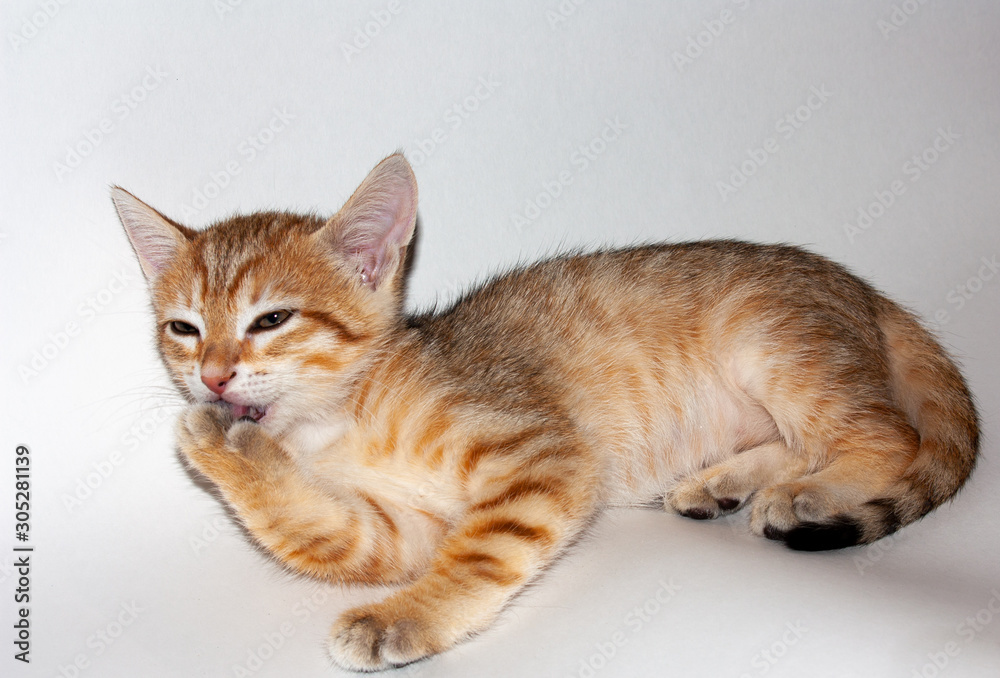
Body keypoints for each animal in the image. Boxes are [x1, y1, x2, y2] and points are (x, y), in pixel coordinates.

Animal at [109, 155, 976, 676]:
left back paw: (808, 493)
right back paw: (725, 484)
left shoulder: (539, 453)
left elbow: (478, 555)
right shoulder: (394, 529)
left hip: (773, 346)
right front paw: (219, 443)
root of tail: (860, 286)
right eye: (183, 328)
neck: (344, 420)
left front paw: (403, 619)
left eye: (271, 320)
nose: (213, 376)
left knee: (887, 434)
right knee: (799, 439)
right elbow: (317, 528)